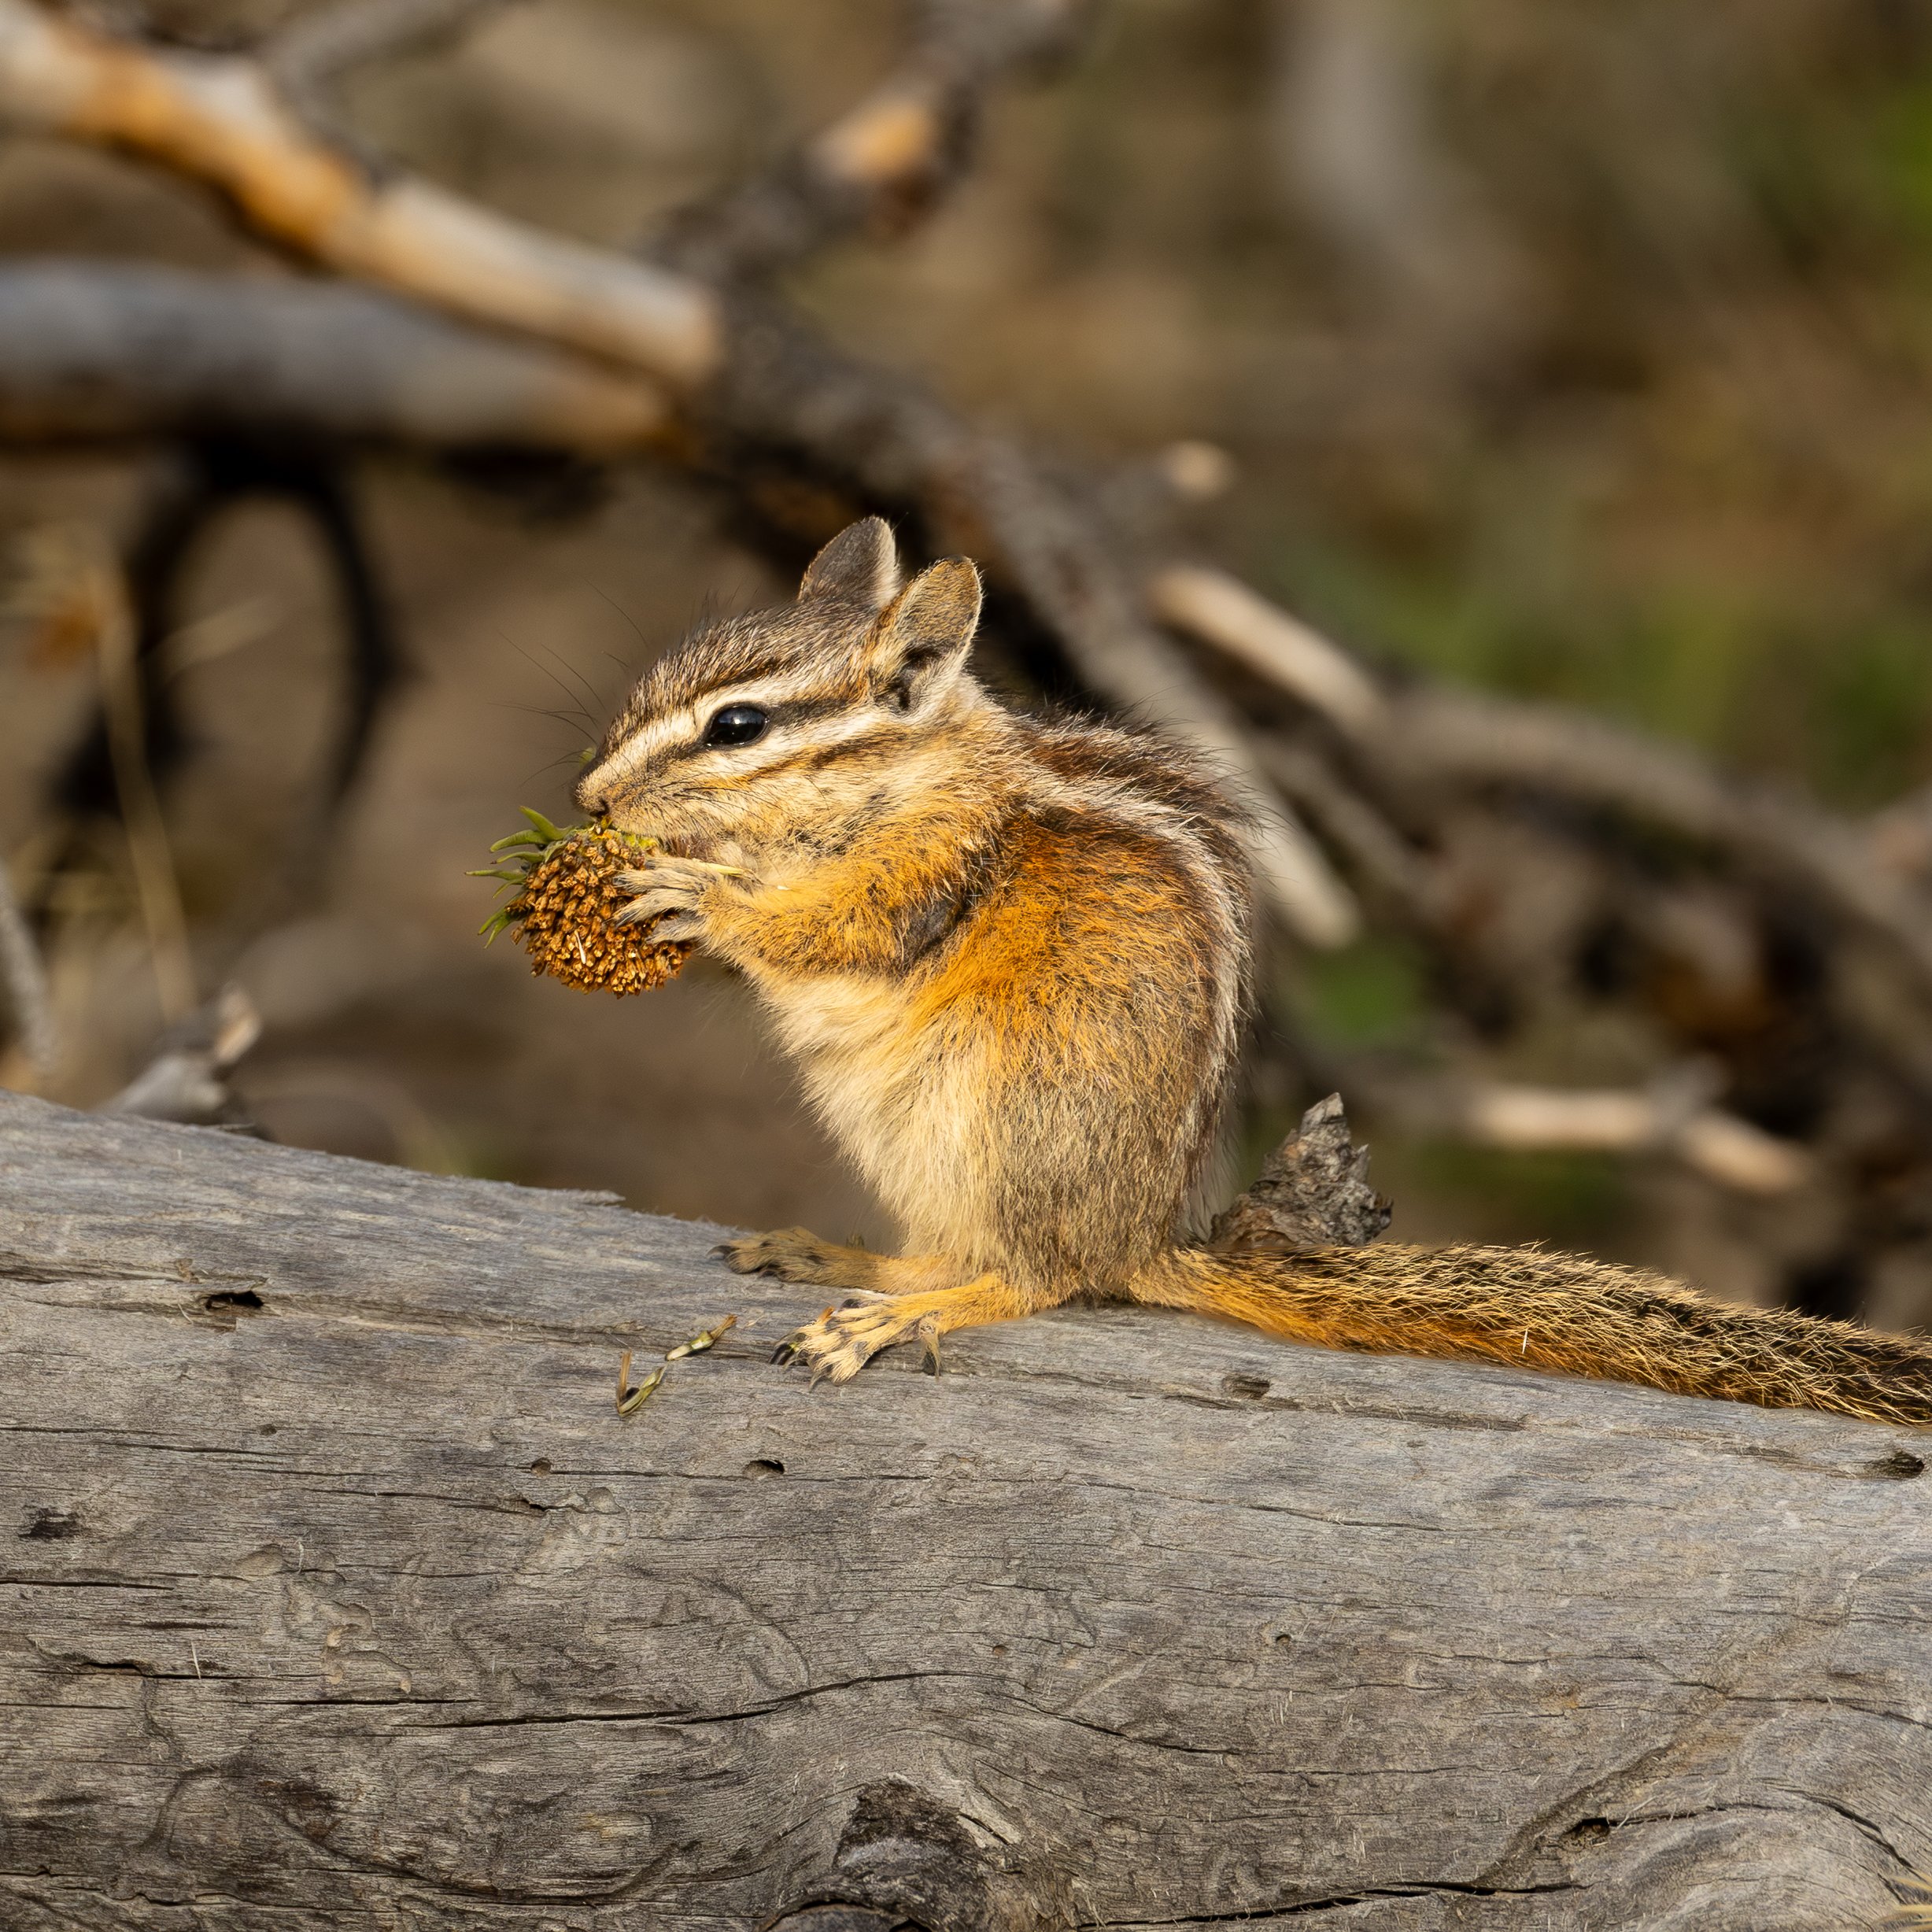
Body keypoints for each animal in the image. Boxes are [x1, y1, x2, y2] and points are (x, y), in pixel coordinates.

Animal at [576, 516, 1932, 1427]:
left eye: (737, 726)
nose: (588, 797)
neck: (911, 772)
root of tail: (1142, 1232)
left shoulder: (927, 866)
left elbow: (833, 927)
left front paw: (693, 892)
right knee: (962, 1250)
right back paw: (845, 1260)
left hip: (1009, 1114)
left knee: (1034, 1276)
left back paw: (904, 1311)